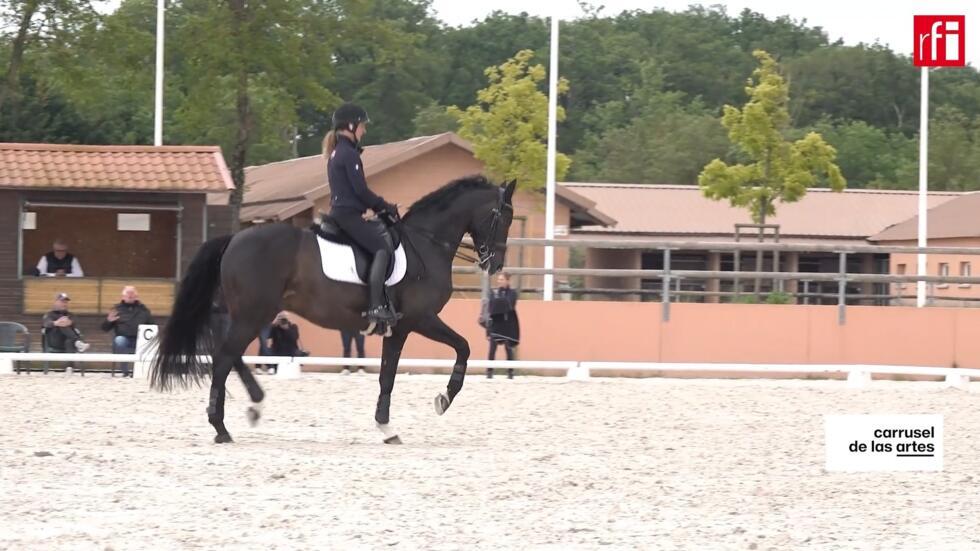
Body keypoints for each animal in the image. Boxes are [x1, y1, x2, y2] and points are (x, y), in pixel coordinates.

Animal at [149, 177, 516, 444]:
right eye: (503, 217)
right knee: (225, 356)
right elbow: (462, 348)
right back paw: (221, 427)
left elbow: (387, 375)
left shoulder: (398, 328)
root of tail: (233, 239)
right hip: (254, 313)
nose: (495, 264)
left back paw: (253, 405)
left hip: (249, 314)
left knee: (230, 354)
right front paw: (444, 398)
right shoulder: (418, 320)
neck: (427, 242)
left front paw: (386, 428)